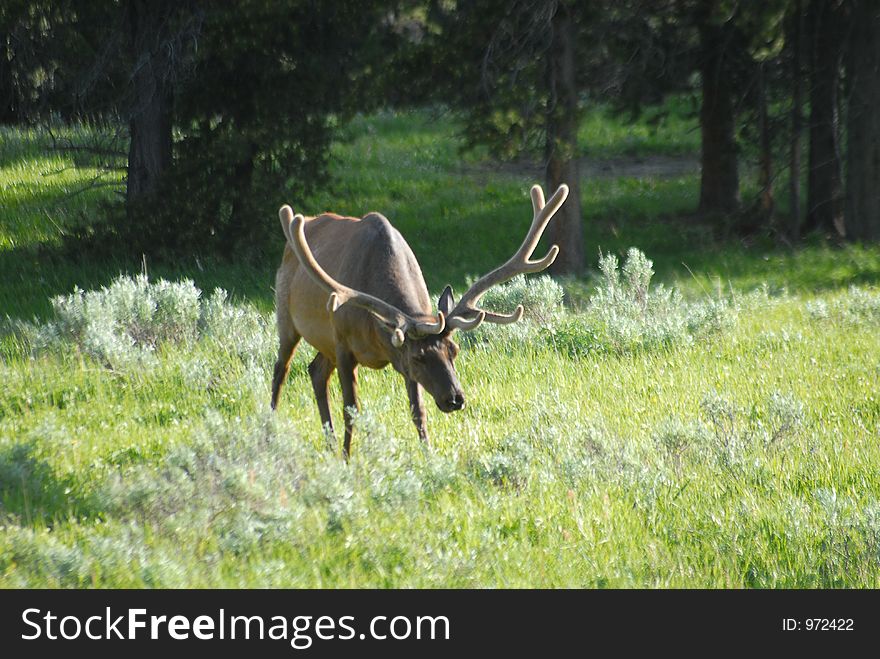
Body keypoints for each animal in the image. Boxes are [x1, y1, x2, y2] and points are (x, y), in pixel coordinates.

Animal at [270, 183, 572, 456]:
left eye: (454, 350)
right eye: (419, 357)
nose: (455, 399)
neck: (375, 335)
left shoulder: (397, 358)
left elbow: (418, 411)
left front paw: (429, 456)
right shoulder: (344, 344)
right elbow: (351, 409)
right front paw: (347, 458)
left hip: (325, 345)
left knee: (315, 371)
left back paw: (329, 443)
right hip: (288, 318)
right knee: (281, 370)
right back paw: (270, 432)